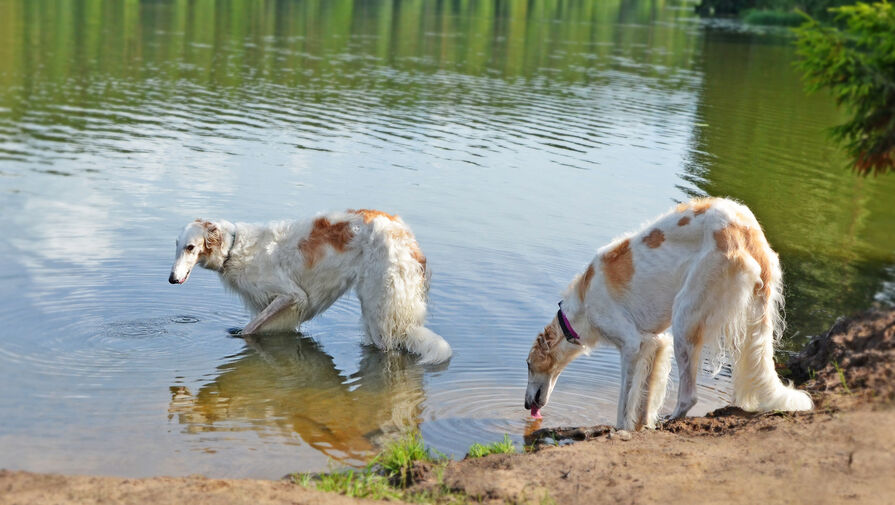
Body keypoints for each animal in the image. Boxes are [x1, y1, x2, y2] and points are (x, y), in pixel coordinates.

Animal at [167, 207, 452, 364]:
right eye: (177, 245)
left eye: (190, 247)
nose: (171, 279)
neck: (234, 248)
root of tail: (407, 237)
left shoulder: (292, 296)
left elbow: (249, 329)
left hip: (379, 309)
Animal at [524, 197, 812, 430]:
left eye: (528, 364)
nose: (527, 406)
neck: (582, 306)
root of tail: (749, 232)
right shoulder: (655, 341)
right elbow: (645, 395)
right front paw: (641, 425)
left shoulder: (630, 344)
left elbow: (625, 398)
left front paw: (621, 428)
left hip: (685, 319)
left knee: (689, 396)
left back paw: (672, 419)